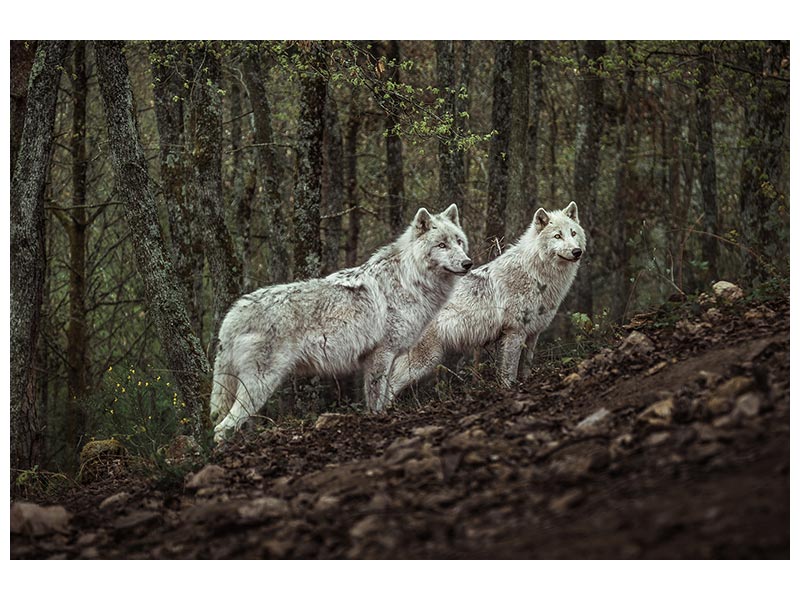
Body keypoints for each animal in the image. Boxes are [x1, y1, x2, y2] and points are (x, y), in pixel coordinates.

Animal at [210, 204, 472, 441]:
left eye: (459, 242)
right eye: (441, 245)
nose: (468, 263)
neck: (410, 280)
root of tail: (232, 315)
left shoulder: (390, 358)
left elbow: (385, 396)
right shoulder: (380, 355)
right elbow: (376, 400)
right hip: (261, 383)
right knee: (222, 428)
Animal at [388, 202, 585, 396]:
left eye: (573, 233)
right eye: (557, 236)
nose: (577, 251)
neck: (535, 275)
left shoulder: (533, 333)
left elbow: (527, 367)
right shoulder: (515, 332)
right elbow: (509, 372)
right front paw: (508, 390)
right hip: (423, 361)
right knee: (390, 386)